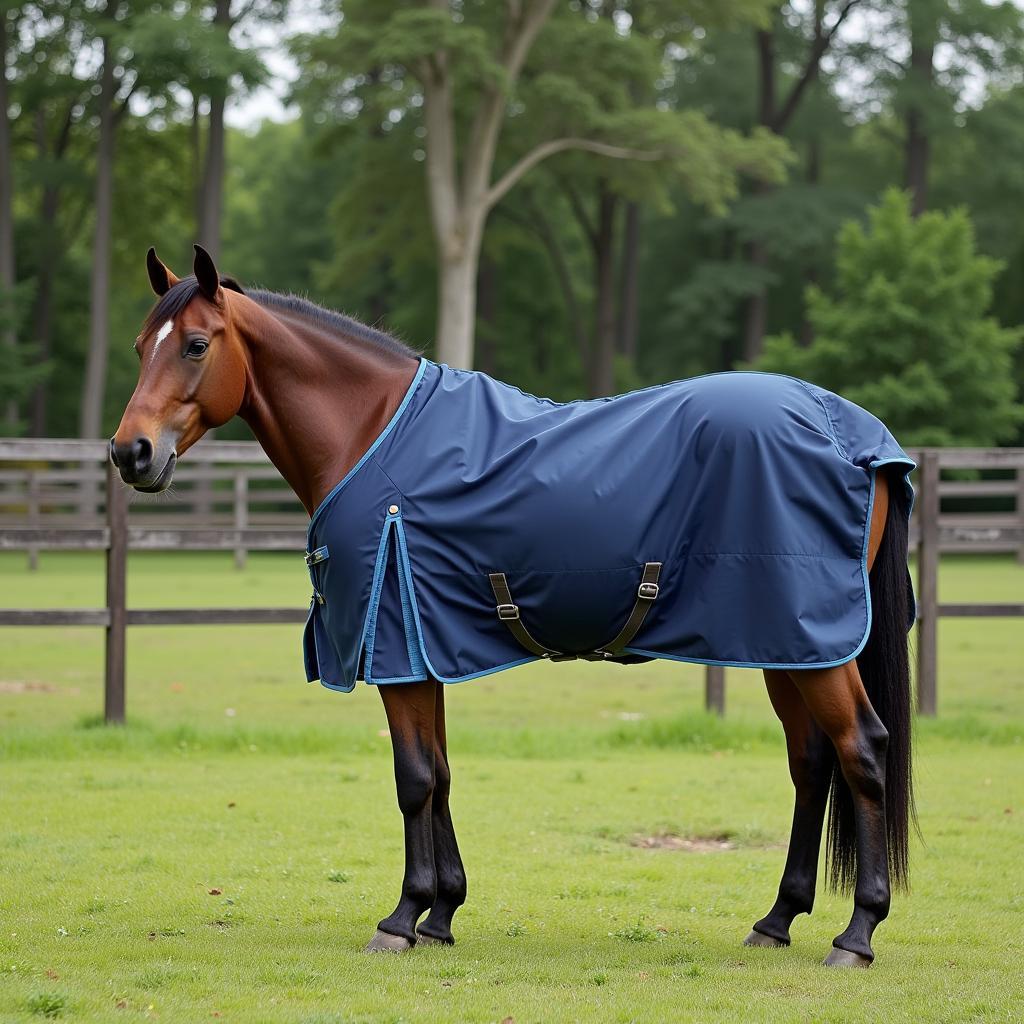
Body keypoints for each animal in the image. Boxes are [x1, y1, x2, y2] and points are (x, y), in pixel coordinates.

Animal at [114, 245, 921, 966]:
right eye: (140, 347)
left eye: (195, 345)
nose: (131, 453)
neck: (371, 430)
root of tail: (858, 438)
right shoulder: (423, 647)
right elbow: (439, 774)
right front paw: (442, 913)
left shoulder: (398, 648)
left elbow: (412, 780)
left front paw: (402, 918)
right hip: (788, 644)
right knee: (812, 761)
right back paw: (777, 919)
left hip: (811, 644)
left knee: (861, 750)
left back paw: (857, 934)